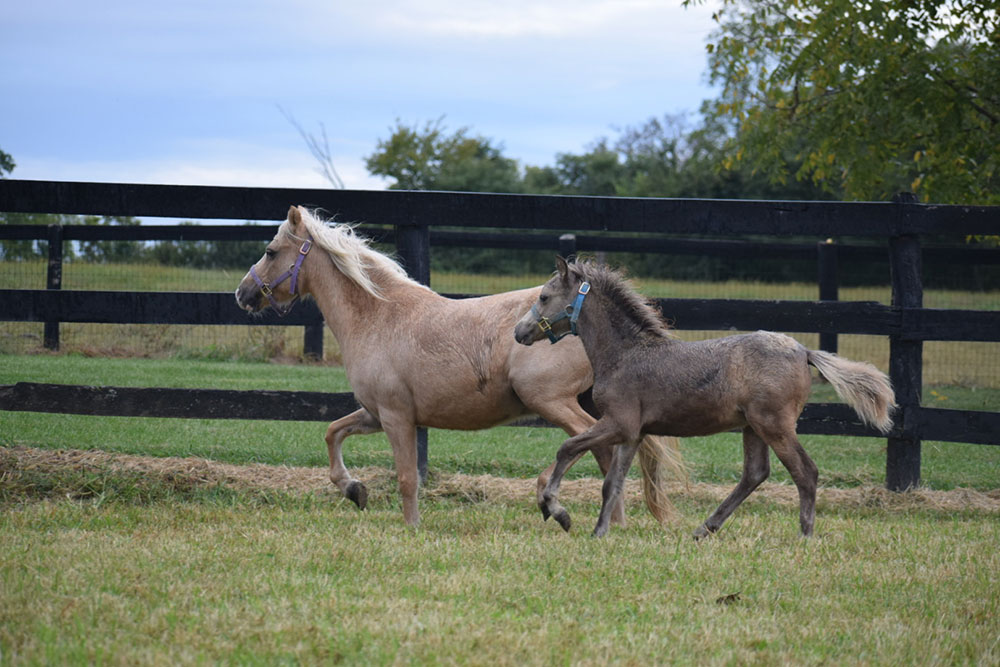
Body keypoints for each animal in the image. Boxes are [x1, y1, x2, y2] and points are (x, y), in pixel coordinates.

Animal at [238, 206, 684, 528]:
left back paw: (560, 509)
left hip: (551, 400)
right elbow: (333, 433)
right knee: (606, 452)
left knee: (594, 446)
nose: (243, 294)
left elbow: (407, 478)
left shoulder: (397, 417)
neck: (379, 317)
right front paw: (354, 490)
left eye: (270, 252)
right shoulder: (374, 414)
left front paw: (411, 527)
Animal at [520, 258, 896, 540]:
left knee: (805, 472)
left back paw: (805, 534)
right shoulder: (632, 433)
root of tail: (804, 351)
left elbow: (567, 448)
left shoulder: (617, 424)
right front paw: (599, 532)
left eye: (544, 297)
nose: (519, 332)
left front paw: (556, 511)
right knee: (755, 473)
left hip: (775, 425)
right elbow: (612, 482)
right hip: (753, 427)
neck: (625, 353)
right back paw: (704, 529)